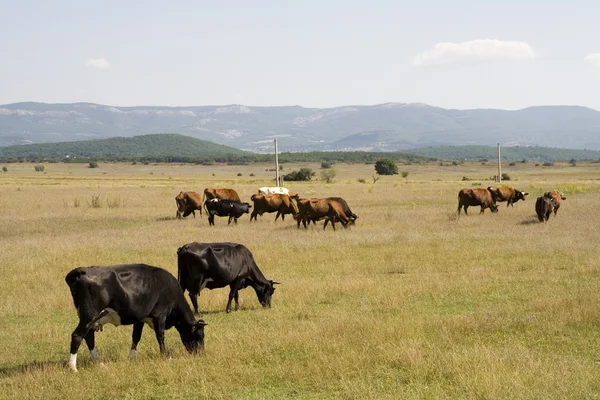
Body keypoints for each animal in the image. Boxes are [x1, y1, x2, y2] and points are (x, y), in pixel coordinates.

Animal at [64, 266, 207, 372]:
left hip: (91, 319)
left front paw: (132, 357)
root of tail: (81, 271)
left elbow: (136, 336)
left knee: (89, 337)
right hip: (89, 316)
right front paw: (166, 356)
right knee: (77, 336)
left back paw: (99, 363)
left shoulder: (140, 318)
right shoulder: (160, 315)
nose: (201, 354)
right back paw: (73, 367)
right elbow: (160, 336)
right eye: (200, 336)